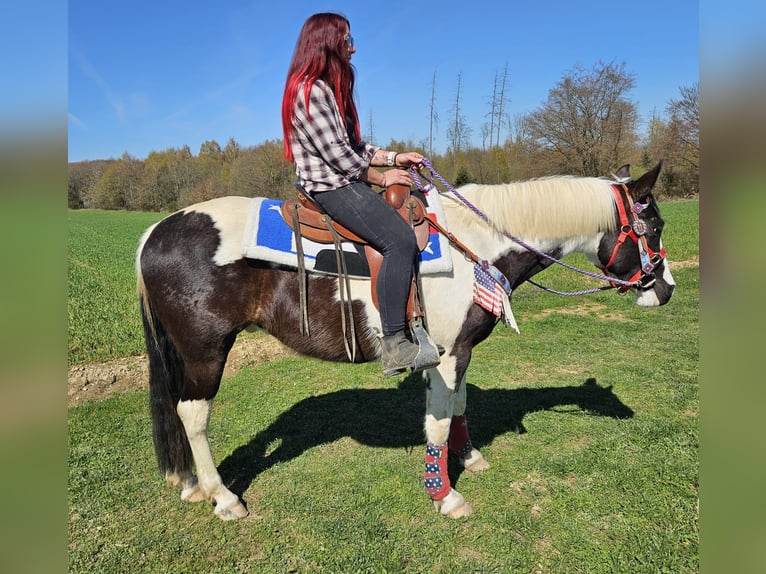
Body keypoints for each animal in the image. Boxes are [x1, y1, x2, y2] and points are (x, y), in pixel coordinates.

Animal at [136, 161, 674, 520]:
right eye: (653, 226)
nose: (666, 290)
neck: (476, 243)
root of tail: (153, 232)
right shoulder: (447, 354)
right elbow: (437, 421)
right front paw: (445, 496)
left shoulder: (462, 352)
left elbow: (459, 407)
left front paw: (470, 458)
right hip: (205, 351)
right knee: (192, 414)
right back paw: (222, 496)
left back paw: (189, 484)